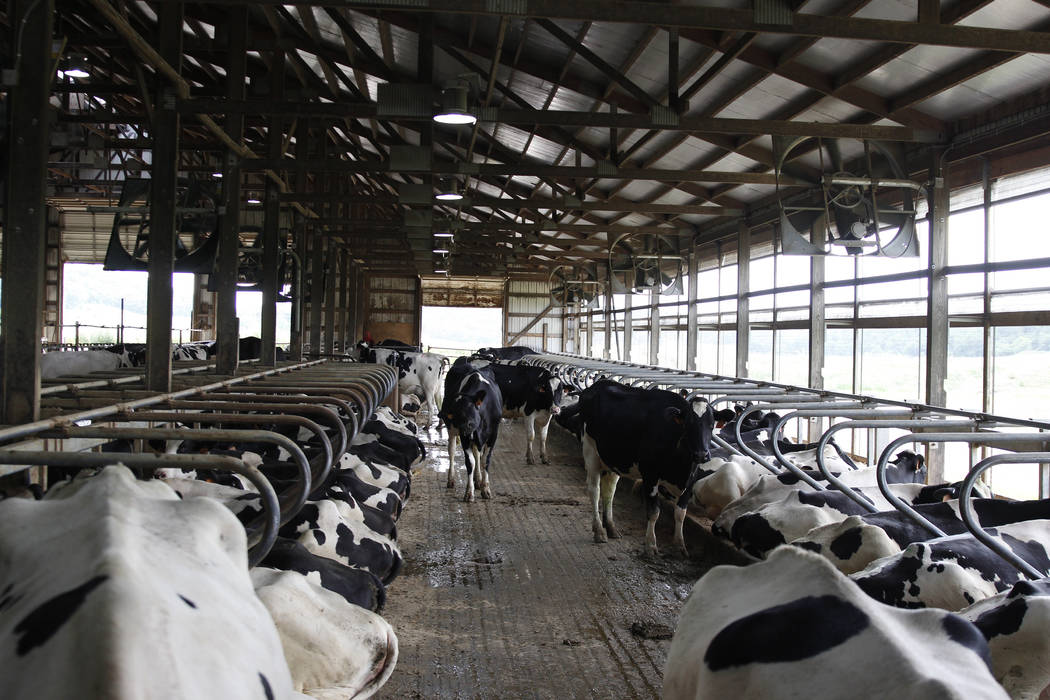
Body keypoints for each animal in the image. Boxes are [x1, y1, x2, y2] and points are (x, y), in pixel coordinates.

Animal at [575, 377, 713, 558]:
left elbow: (680, 514)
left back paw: (611, 527)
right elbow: (654, 512)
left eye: (712, 425)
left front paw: (680, 546)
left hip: (613, 458)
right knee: (594, 490)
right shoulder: (650, 475)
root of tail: (599, 384)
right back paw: (599, 530)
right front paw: (651, 546)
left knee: (609, 490)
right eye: (688, 424)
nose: (701, 454)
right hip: (590, 450)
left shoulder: (690, 481)